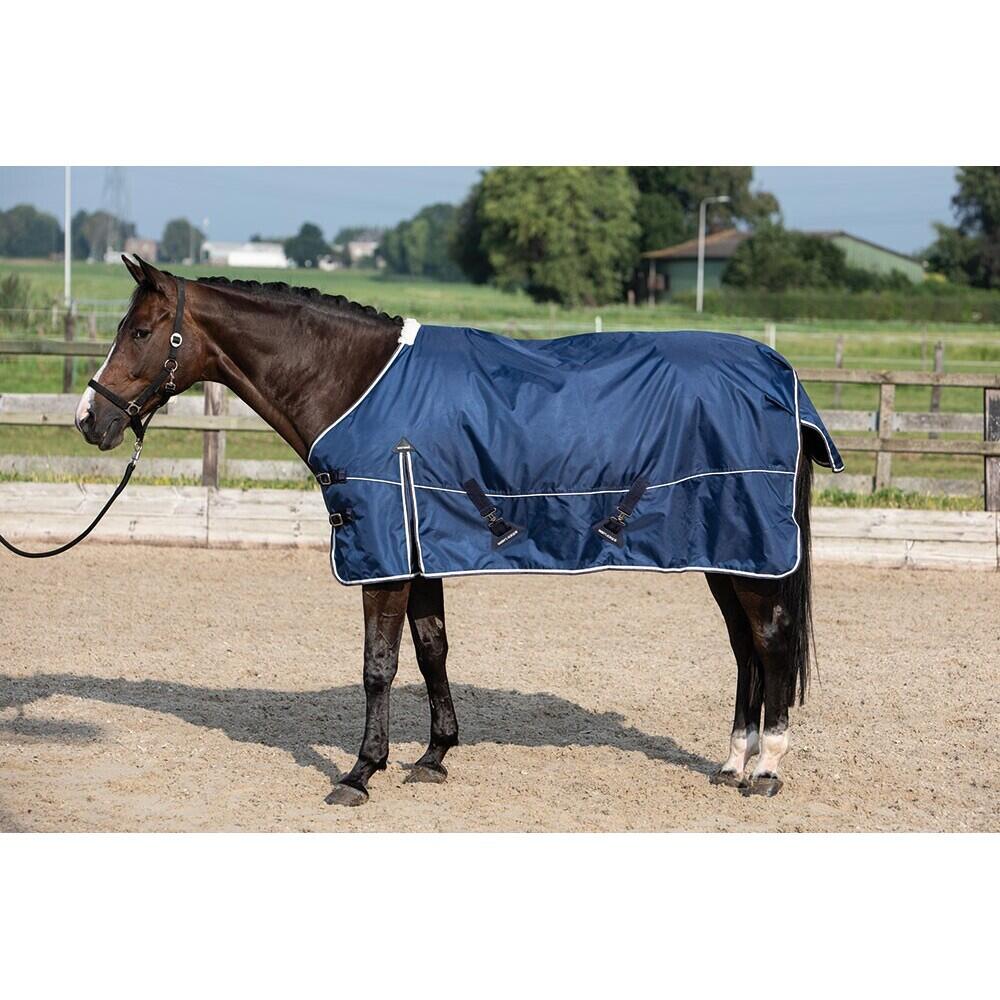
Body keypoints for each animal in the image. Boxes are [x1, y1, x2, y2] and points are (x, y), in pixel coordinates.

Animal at [75, 255, 829, 804]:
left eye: (138, 332)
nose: (91, 418)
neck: (355, 384)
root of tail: (785, 381)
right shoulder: (420, 549)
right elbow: (432, 648)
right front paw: (434, 756)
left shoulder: (380, 552)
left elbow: (379, 664)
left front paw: (360, 773)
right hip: (731, 552)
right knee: (745, 649)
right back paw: (733, 762)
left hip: (750, 552)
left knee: (770, 642)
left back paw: (766, 770)